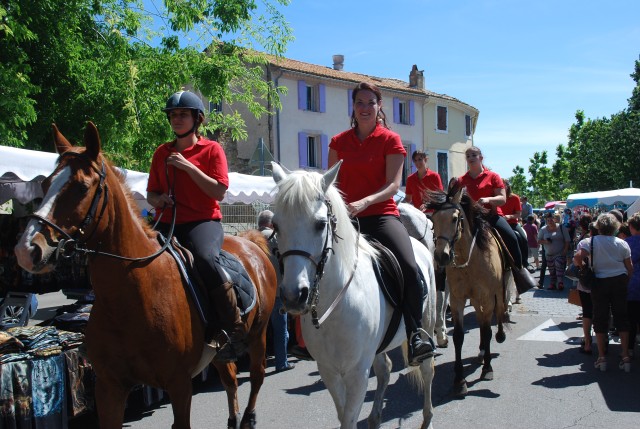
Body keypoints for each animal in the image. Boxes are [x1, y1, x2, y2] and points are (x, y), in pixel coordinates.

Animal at [13, 122, 276, 426]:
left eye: (81, 187)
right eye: (45, 185)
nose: (27, 249)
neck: (132, 295)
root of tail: (250, 242)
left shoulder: (179, 384)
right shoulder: (109, 387)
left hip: (258, 335)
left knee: (256, 377)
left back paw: (248, 418)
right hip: (221, 352)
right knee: (230, 380)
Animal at [272, 161, 438, 428]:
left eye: (320, 224)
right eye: (276, 225)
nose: (293, 296)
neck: (334, 307)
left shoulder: (358, 373)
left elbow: (349, 418)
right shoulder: (328, 371)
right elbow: (343, 415)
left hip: (428, 325)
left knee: (427, 370)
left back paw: (427, 419)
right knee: (386, 369)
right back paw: (375, 417)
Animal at [424, 179, 504, 396]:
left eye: (454, 219)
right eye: (433, 220)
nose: (441, 256)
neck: (470, 260)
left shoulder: (486, 297)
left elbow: (487, 330)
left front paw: (487, 369)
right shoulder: (458, 299)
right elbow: (459, 337)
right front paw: (459, 380)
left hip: (494, 294)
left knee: (497, 314)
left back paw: (496, 340)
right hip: (474, 299)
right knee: (481, 319)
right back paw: (482, 352)